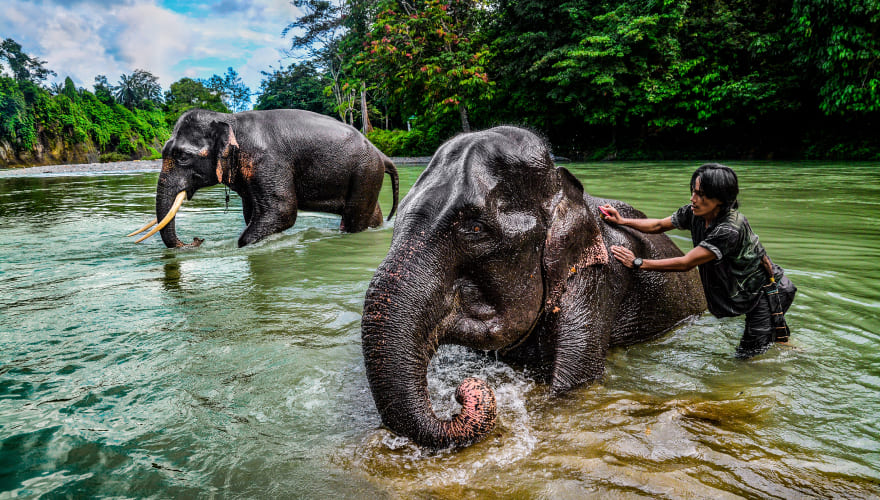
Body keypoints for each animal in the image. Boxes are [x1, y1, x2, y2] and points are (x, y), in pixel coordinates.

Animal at [126, 110, 398, 249]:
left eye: (182, 156)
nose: (196, 240)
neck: (230, 119)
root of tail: (381, 154)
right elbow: (252, 213)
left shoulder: (268, 162)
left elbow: (282, 211)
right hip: (367, 176)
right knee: (371, 214)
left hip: (365, 173)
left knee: (354, 218)